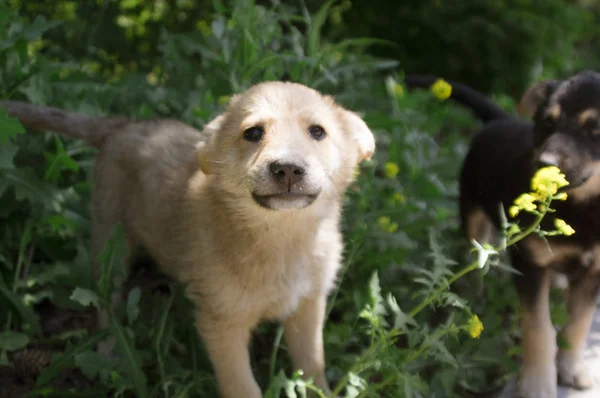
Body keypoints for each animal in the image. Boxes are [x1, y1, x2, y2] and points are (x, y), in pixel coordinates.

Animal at [1, 81, 376, 398]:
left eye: (318, 132)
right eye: (253, 133)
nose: (287, 169)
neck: (283, 238)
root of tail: (123, 126)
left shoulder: (308, 307)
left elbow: (313, 368)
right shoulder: (222, 324)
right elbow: (243, 387)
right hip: (111, 240)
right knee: (107, 301)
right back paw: (109, 352)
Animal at [406, 72, 600, 398]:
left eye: (594, 130)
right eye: (547, 123)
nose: (544, 163)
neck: (581, 209)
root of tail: (501, 119)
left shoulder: (592, 272)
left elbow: (578, 324)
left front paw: (571, 369)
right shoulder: (530, 265)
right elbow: (539, 328)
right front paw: (537, 383)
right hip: (473, 218)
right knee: (476, 266)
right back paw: (474, 296)